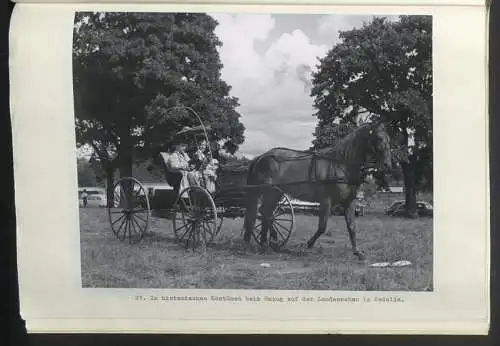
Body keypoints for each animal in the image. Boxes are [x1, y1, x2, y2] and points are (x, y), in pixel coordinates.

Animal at [244, 121, 392, 260]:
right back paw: (268, 242)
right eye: (379, 138)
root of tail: (261, 157)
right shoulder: (326, 200)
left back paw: (268, 242)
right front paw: (308, 244)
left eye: (388, 139)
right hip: (270, 192)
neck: (340, 165)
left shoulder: (349, 202)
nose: (387, 165)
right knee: (265, 213)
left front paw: (358, 252)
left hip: (275, 194)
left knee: (267, 214)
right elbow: (322, 227)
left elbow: (352, 227)